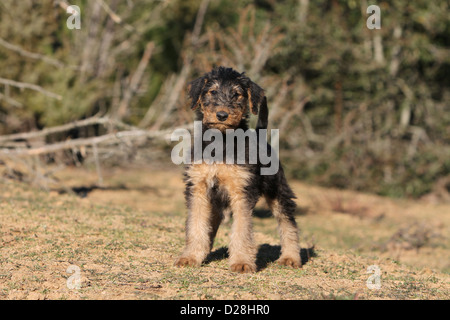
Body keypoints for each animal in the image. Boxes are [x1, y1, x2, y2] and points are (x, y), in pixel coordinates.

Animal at [174, 67, 300, 272]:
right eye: (213, 91)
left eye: (237, 94)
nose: (222, 115)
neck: (220, 141)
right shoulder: (197, 188)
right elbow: (196, 225)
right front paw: (190, 257)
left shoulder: (242, 191)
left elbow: (242, 230)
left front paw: (241, 262)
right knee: (212, 223)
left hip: (277, 190)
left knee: (287, 222)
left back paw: (290, 257)